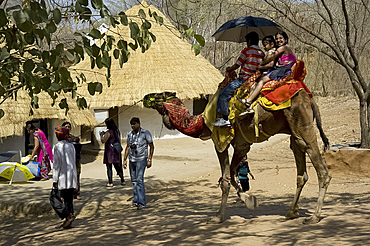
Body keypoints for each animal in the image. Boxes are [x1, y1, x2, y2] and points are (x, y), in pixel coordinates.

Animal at [143, 89, 330, 224]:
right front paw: (249, 199)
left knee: (322, 171)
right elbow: (232, 175)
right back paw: (291, 212)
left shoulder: (220, 141)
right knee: (301, 171)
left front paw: (219, 216)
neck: (202, 121)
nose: (145, 97)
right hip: (294, 133)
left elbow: (226, 179)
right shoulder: (241, 145)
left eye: (160, 95)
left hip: (303, 126)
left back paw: (314, 217)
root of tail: (310, 100)